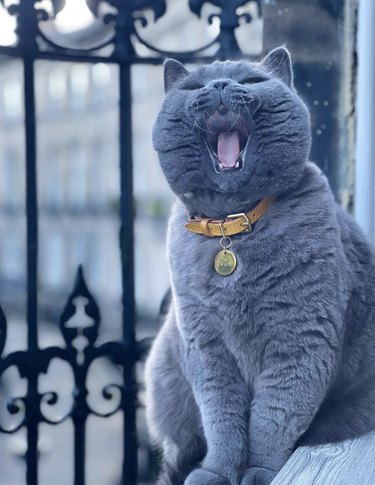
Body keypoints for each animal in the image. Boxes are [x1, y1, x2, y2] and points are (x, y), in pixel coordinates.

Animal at [145, 48, 375, 484]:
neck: (231, 227)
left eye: (251, 81)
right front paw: (216, 472)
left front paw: (260, 472)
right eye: (195, 87)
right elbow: (222, 419)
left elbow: (274, 418)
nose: (220, 84)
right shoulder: (205, 345)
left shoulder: (301, 340)